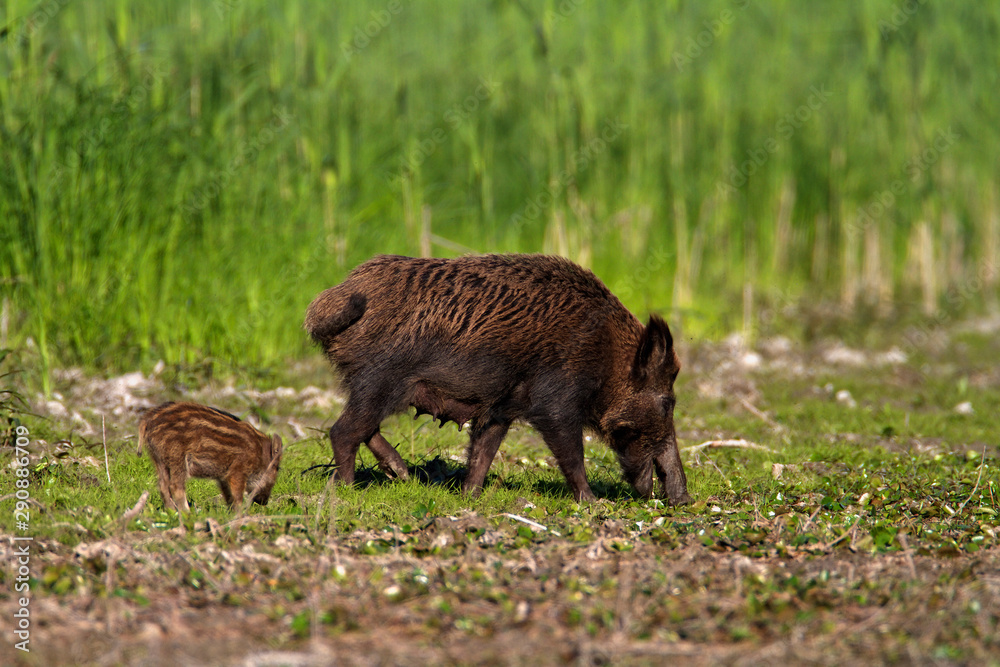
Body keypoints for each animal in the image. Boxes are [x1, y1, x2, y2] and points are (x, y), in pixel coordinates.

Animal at [137, 401, 284, 512]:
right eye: (277, 468)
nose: (264, 502)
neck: (259, 453)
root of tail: (148, 418)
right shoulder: (238, 471)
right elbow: (237, 496)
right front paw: (239, 513)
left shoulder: (223, 476)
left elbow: (228, 495)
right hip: (176, 457)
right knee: (175, 486)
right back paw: (187, 513)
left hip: (158, 458)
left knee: (163, 485)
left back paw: (172, 512)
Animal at [304, 254, 690, 504]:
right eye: (667, 402)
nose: (684, 499)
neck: (607, 355)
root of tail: (338, 296)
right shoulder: (555, 401)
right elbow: (572, 454)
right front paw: (594, 503)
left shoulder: (502, 406)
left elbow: (483, 450)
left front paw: (470, 496)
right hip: (379, 378)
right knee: (343, 431)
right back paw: (348, 490)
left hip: (370, 383)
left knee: (363, 428)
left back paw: (404, 475)